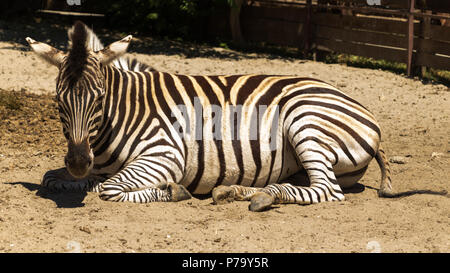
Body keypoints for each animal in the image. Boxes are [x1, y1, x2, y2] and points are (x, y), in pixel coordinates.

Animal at [25, 21, 398, 212]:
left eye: (100, 98)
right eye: (58, 100)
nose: (77, 163)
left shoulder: (165, 155)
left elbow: (110, 188)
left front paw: (173, 191)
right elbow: (52, 178)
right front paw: (78, 180)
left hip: (304, 120)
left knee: (326, 191)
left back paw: (263, 197)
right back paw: (235, 191)